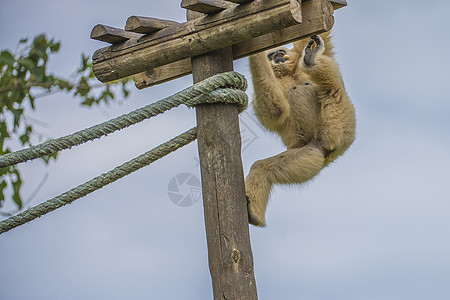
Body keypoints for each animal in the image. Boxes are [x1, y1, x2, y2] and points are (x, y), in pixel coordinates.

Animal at [246, 32, 356, 225]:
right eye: (271, 55)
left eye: (280, 52)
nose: (277, 56)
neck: (288, 73)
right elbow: (275, 110)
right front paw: (256, 53)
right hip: (310, 154)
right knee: (261, 167)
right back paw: (254, 214)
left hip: (344, 121)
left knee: (333, 90)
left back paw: (310, 59)